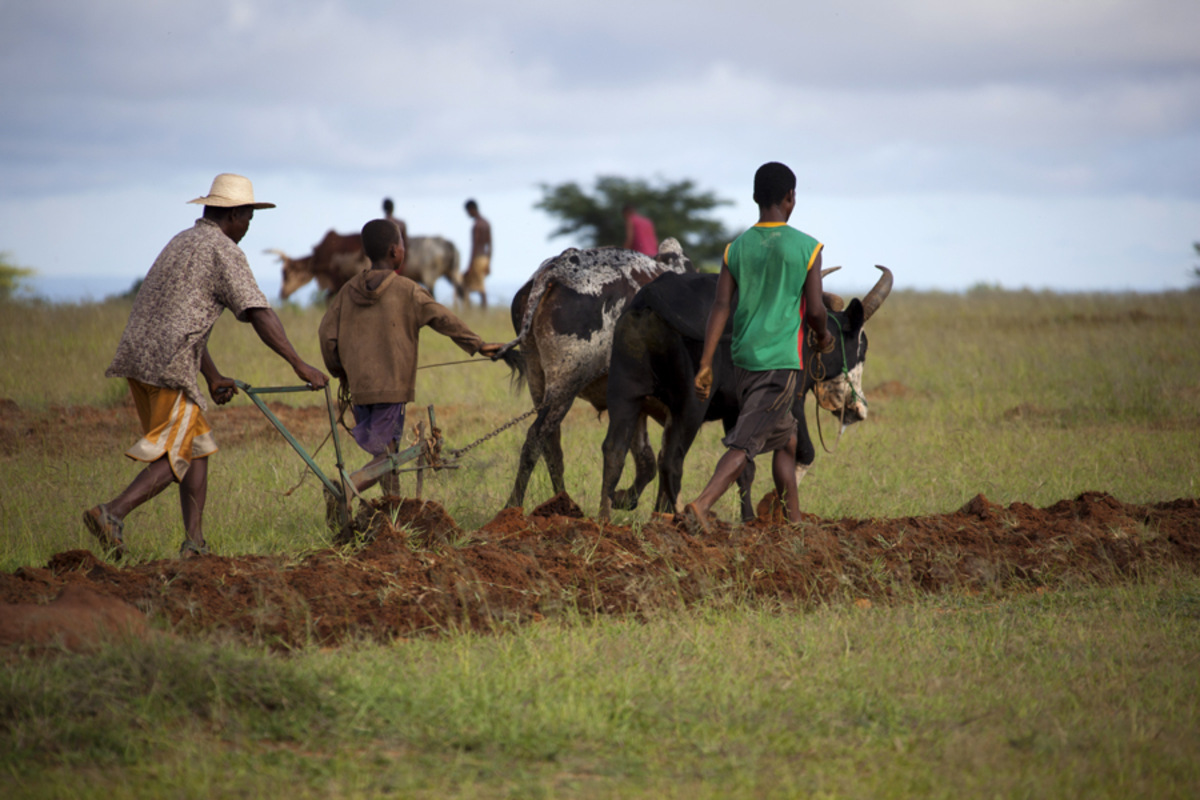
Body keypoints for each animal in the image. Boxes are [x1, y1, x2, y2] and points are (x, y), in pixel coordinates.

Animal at [271, 236, 463, 304]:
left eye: (285, 273)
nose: (282, 294)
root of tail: (449, 244)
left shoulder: (338, 281)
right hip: (450, 273)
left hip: (430, 275)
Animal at [494, 241, 696, 510]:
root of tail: (554, 271)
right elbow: (665, 461)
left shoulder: (637, 406)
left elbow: (647, 461)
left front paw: (625, 499)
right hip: (567, 382)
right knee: (536, 437)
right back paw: (514, 507)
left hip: (537, 377)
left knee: (550, 443)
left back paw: (562, 503)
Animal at [600, 266, 892, 522]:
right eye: (862, 346)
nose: (858, 409)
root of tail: (653, 293)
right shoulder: (790, 401)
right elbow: (804, 452)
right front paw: (778, 511)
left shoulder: (735, 410)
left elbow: (745, 468)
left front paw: (749, 518)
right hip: (691, 405)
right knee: (672, 460)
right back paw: (681, 515)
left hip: (625, 395)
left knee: (616, 451)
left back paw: (608, 518)